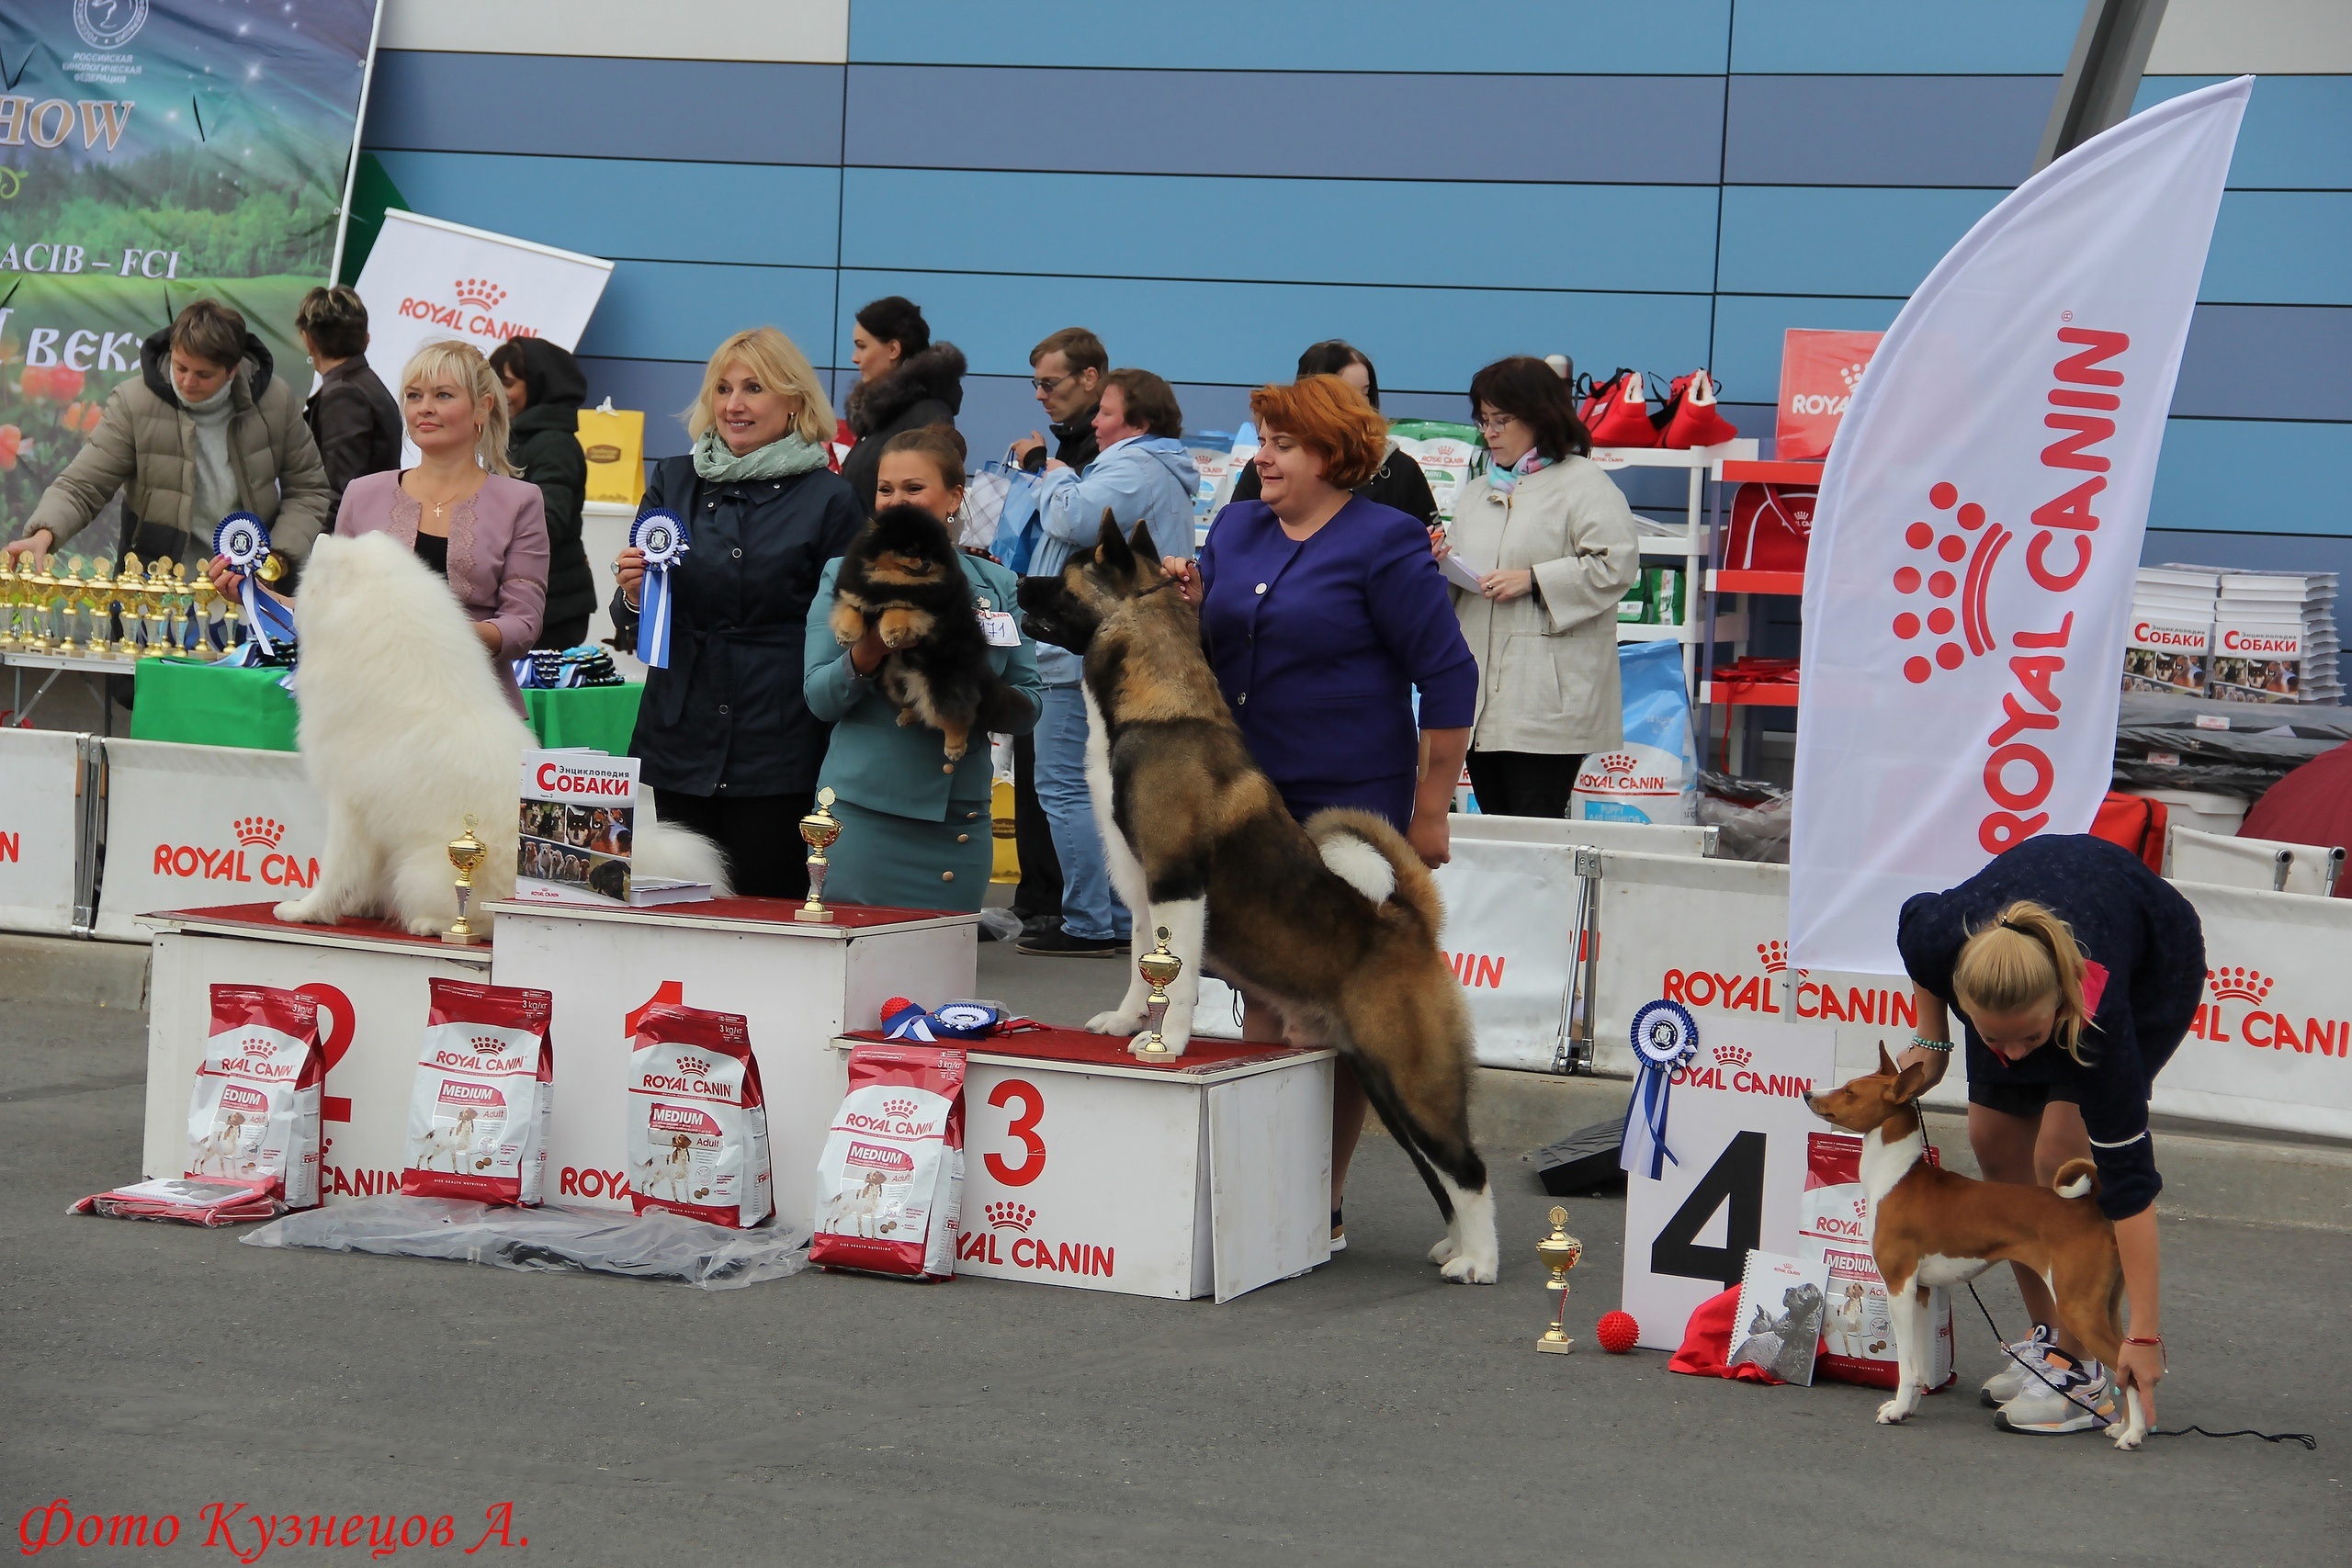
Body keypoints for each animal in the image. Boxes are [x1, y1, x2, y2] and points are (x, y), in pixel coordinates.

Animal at [270, 533, 724, 940]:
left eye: (306, 584)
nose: (287, 609)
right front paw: (360, 906)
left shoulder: (349, 808)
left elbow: (334, 870)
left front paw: (305, 911)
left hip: (423, 869)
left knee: (492, 919)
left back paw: (432, 924)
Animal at [1796, 1048, 2154, 1457]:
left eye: (1851, 1092)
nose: (1808, 1093)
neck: (1895, 1177)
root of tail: (2089, 1206)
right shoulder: (1921, 1291)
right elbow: (1920, 1364)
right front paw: (1910, 1406)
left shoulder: (1899, 1286)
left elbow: (1906, 1364)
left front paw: (1897, 1409)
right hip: (2103, 1305)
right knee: (2126, 1362)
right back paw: (2122, 1425)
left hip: (2078, 1307)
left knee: (2132, 1372)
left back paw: (2134, 1433)